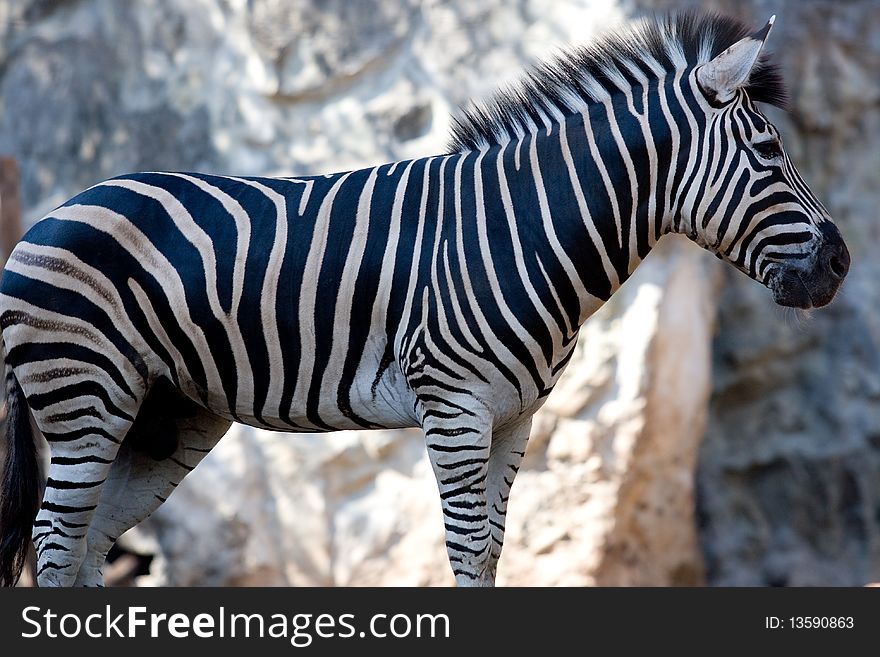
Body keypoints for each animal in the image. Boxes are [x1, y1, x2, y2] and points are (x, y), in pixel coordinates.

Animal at [0, 10, 852, 588]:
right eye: (770, 151)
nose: (841, 262)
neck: (525, 229)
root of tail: (49, 213)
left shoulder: (515, 417)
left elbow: (494, 550)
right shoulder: (454, 408)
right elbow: (466, 551)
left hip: (165, 412)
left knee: (87, 542)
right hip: (85, 396)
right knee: (53, 539)